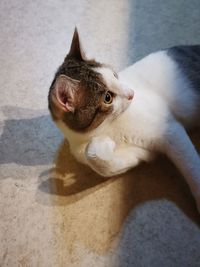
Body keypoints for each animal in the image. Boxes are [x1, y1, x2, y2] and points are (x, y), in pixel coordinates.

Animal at [48, 28, 200, 214]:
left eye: (115, 75)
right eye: (107, 97)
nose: (131, 93)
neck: (106, 129)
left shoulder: (171, 131)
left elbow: (191, 167)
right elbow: (104, 162)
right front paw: (108, 148)